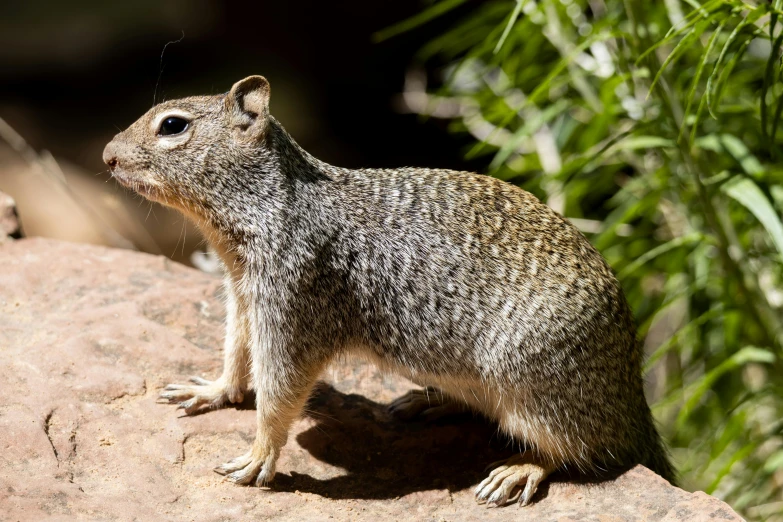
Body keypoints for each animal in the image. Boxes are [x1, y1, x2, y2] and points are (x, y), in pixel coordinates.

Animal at [102, 74, 672, 504]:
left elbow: (279, 391)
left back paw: (518, 470)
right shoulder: (244, 297)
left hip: (534, 385)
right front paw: (212, 391)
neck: (268, 207)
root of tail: (633, 403)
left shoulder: (294, 304)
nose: (106, 155)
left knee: (579, 449)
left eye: (173, 125)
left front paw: (258, 457)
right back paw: (428, 404)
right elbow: (236, 354)